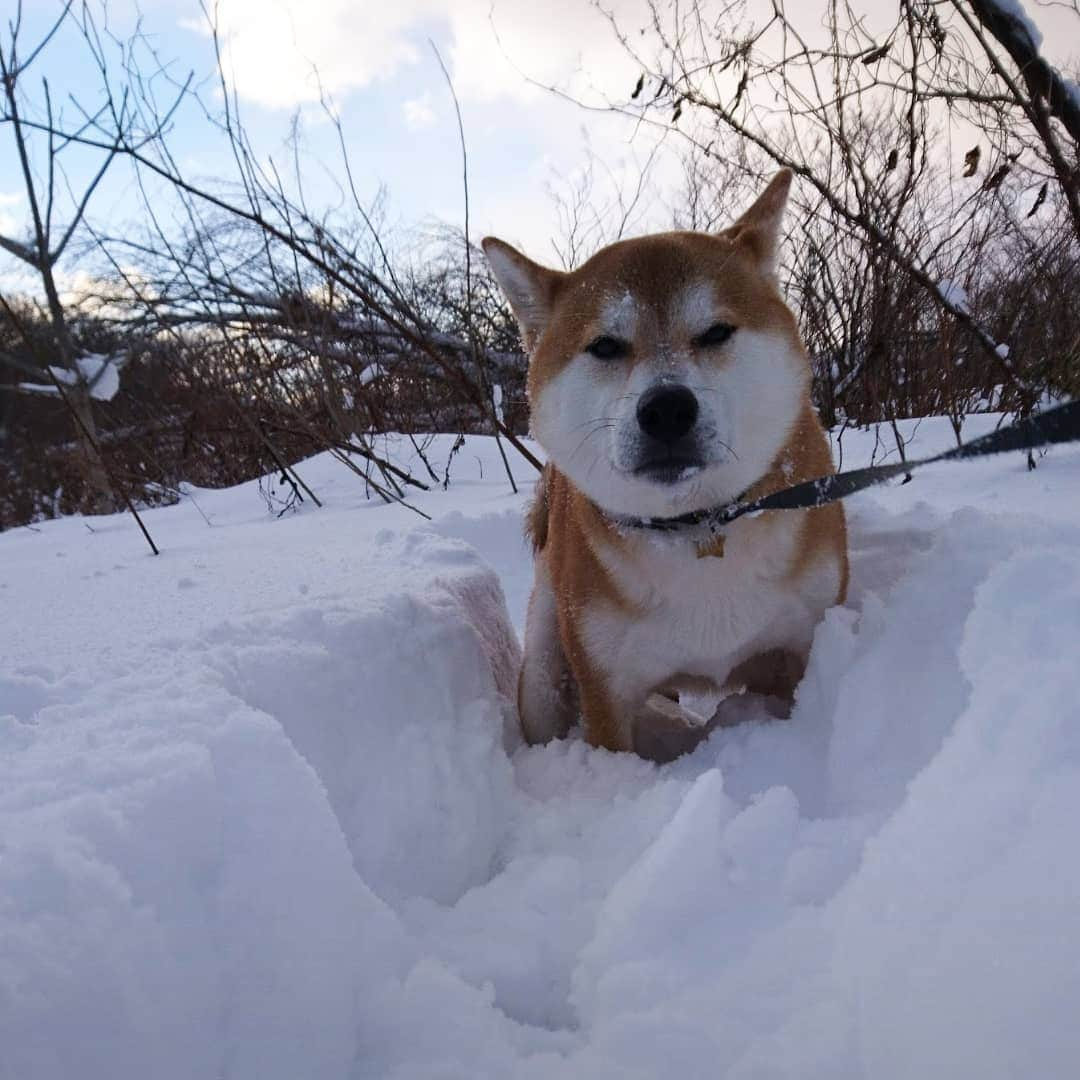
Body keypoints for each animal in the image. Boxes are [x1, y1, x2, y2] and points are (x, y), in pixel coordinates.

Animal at [486, 170, 846, 760]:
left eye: (716, 332)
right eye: (605, 346)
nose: (667, 409)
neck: (695, 527)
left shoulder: (801, 643)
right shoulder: (605, 689)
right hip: (542, 667)